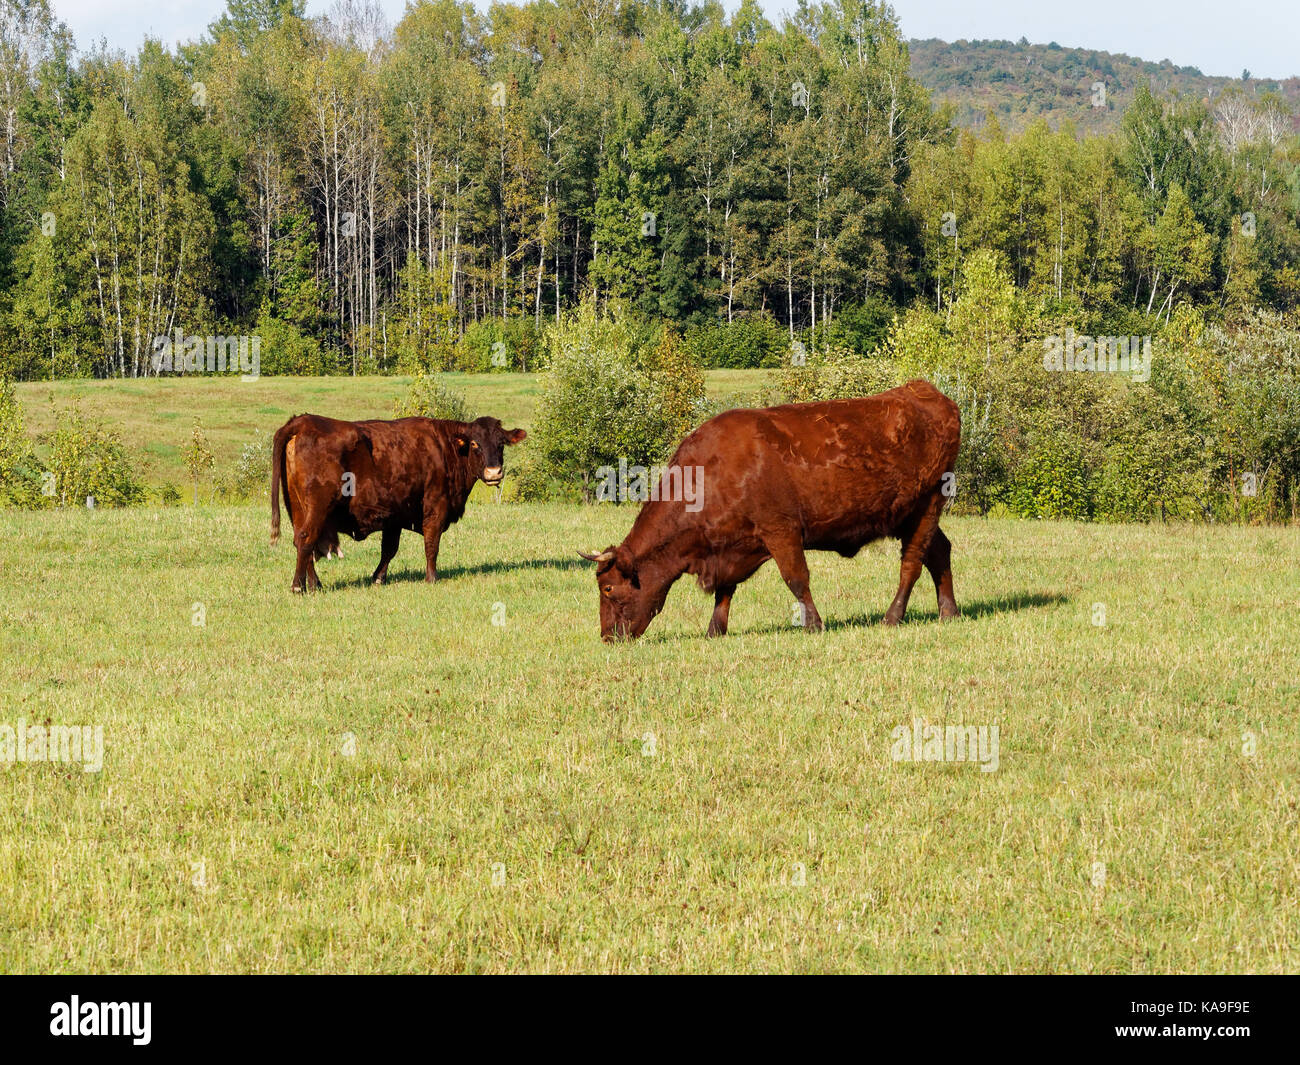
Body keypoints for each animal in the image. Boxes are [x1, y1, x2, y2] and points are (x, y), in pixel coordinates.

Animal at [270, 413, 526, 592]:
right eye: (475, 444)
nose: (494, 472)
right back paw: (298, 586)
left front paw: (378, 578)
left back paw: (314, 584)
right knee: (306, 538)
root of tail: (303, 421)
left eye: (501, 443)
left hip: (297, 507)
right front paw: (431, 578)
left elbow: (389, 549)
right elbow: (431, 544)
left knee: (301, 540)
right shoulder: (436, 507)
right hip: (318, 506)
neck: (445, 448)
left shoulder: (393, 515)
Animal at [579, 379, 960, 640]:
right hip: (909, 515)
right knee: (939, 552)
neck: (713, 472)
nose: (607, 637)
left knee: (912, 563)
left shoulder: (781, 531)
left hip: (927, 506)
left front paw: (813, 624)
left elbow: (796, 579)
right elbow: (725, 590)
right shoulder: (729, 546)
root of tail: (925, 392)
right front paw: (715, 630)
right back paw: (949, 612)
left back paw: (892, 616)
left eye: (608, 589)